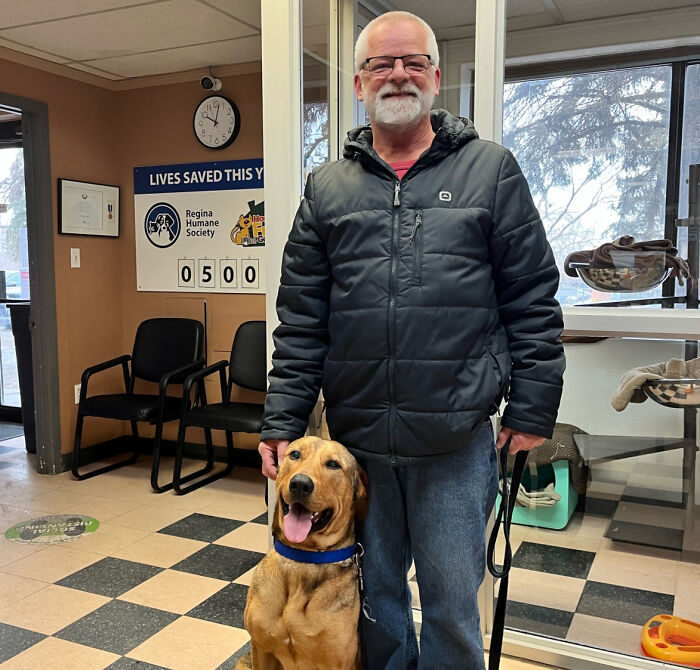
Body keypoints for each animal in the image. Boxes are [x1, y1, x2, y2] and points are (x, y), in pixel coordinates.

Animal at [234, 438, 366, 668]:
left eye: (333, 464)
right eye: (294, 454)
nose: (301, 484)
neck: (303, 558)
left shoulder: (337, 662)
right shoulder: (261, 649)